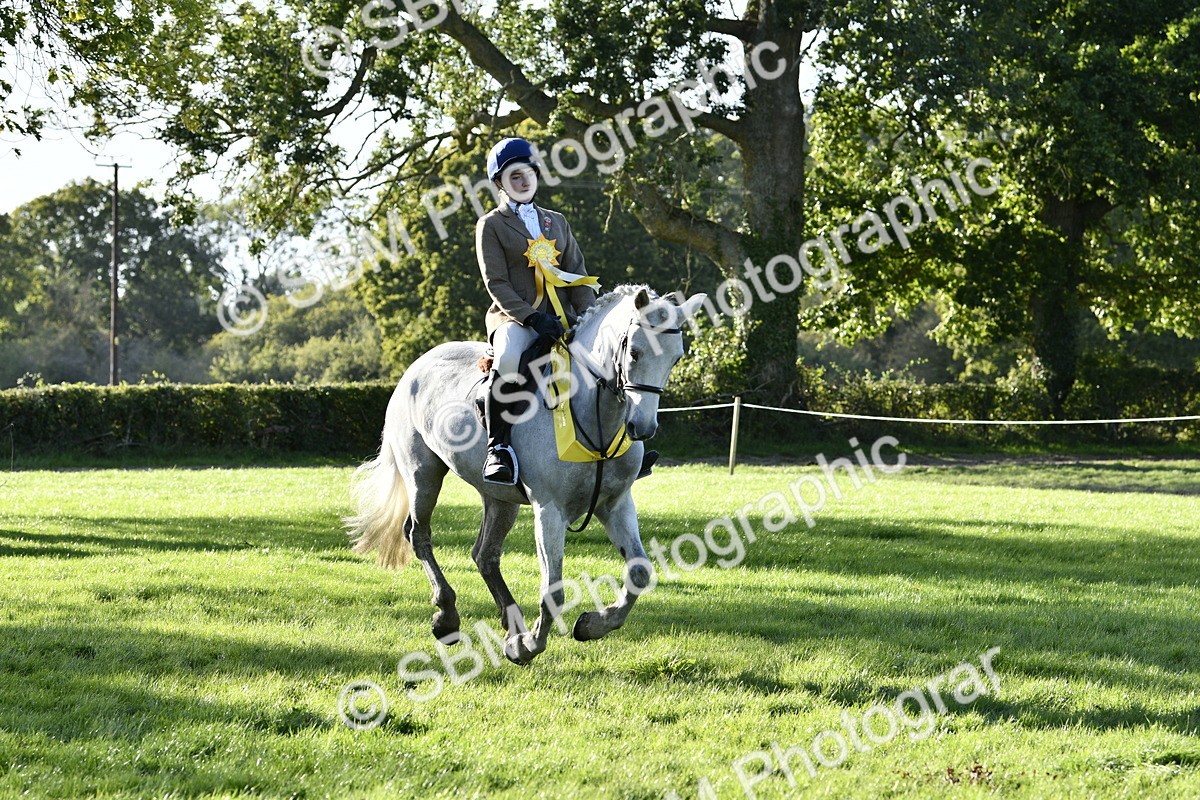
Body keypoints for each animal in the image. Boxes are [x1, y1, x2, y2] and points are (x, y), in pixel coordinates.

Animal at [346, 285, 707, 665]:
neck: (593, 415)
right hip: (423, 474)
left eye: (676, 358)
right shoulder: (549, 510)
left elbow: (638, 572)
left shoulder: (616, 505)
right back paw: (448, 617)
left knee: (485, 554)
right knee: (419, 535)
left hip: (498, 498)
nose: (643, 428)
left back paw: (512, 623)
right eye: (635, 352)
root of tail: (416, 366)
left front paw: (592, 625)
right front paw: (528, 646)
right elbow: (553, 591)